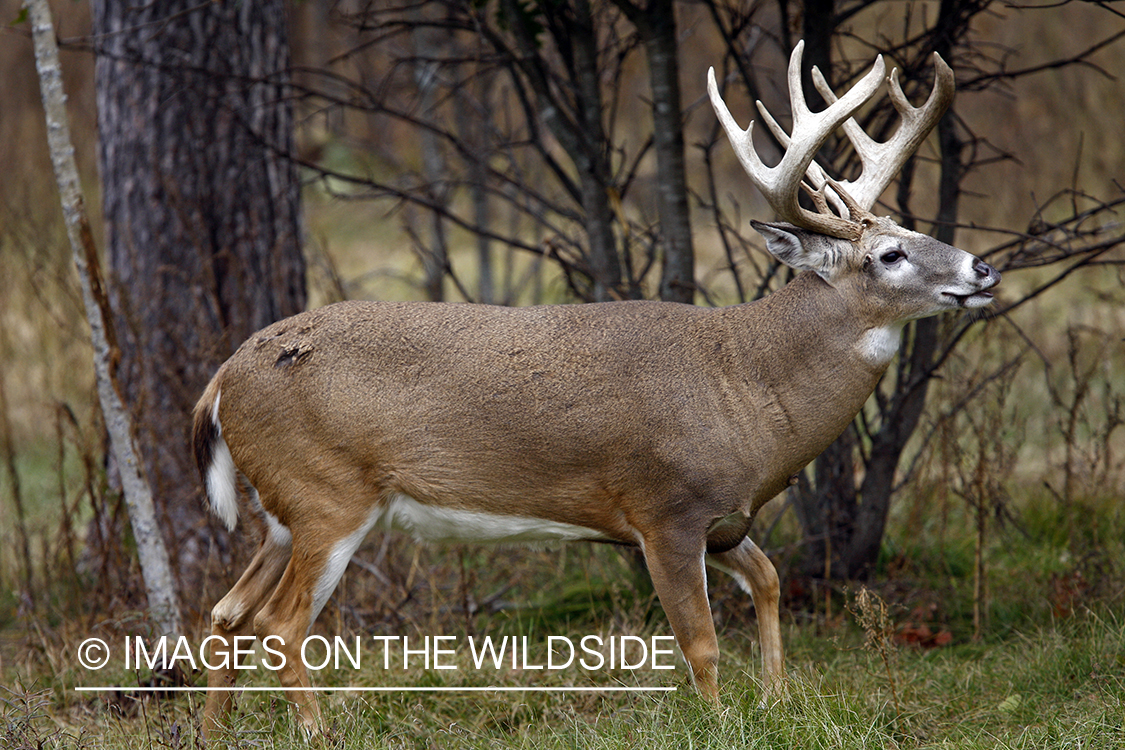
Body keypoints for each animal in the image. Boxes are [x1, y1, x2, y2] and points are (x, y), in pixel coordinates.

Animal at [193, 38, 1003, 737]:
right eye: (890, 254)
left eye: (911, 228)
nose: (983, 269)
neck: (746, 383)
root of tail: (221, 380)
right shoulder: (663, 506)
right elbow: (701, 642)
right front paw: (721, 724)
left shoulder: (723, 517)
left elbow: (771, 580)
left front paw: (777, 701)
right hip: (328, 495)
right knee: (278, 623)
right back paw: (314, 732)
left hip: (282, 509)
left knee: (227, 612)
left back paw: (214, 734)